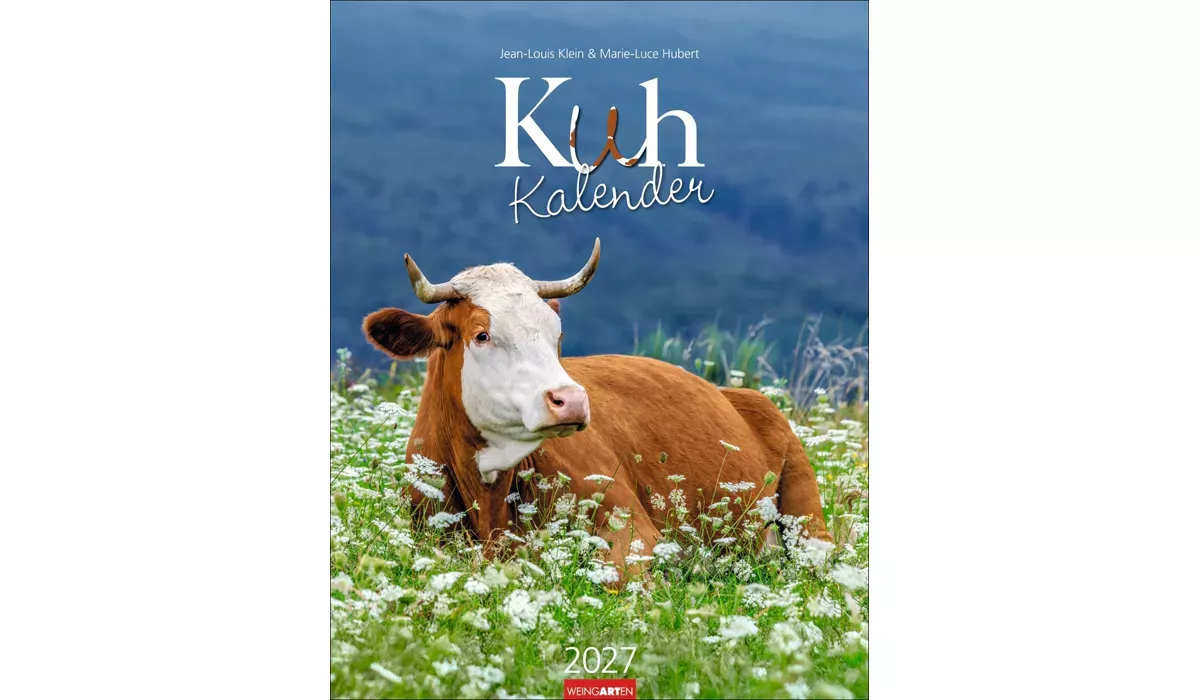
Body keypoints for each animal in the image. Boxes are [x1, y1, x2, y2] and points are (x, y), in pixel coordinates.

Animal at [362, 239, 831, 570]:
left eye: (558, 334)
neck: (489, 491)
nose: (570, 401)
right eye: (481, 334)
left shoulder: (635, 530)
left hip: (808, 520)